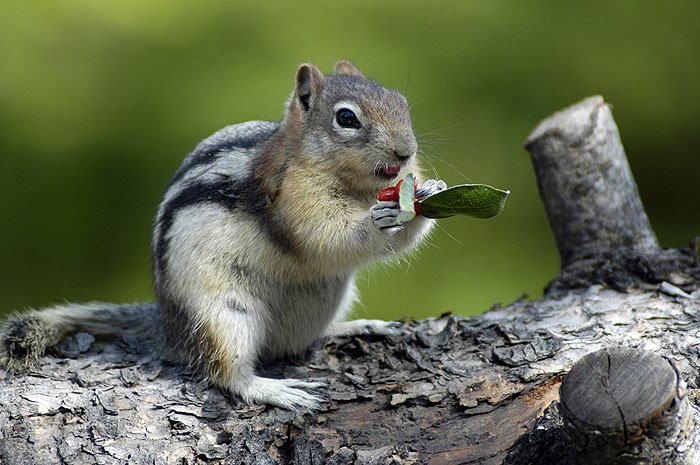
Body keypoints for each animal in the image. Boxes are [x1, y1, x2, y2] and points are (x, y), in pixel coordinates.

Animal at [0, 61, 446, 410]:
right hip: (224, 315)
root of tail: (168, 325)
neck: (358, 187)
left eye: (402, 103)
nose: (406, 152)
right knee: (227, 372)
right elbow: (323, 237)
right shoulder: (293, 198)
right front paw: (377, 217)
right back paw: (274, 390)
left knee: (299, 341)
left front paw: (429, 191)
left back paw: (357, 326)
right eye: (347, 119)